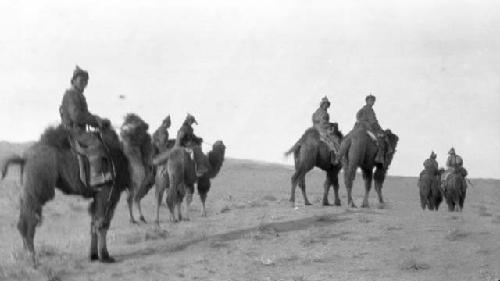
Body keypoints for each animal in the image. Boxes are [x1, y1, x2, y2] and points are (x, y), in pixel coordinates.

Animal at [0, 121, 129, 264]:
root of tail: (24, 158)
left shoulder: (99, 196)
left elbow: (94, 223)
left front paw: (94, 256)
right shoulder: (108, 191)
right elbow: (102, 223)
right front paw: (105, 257)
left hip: (27, 188)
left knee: (23, 219)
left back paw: (27, 257)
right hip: (38, 186)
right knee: (30, 220)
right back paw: (32, 258)